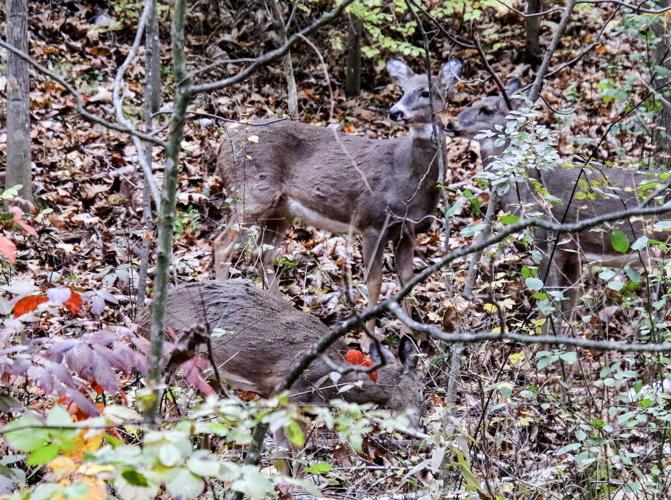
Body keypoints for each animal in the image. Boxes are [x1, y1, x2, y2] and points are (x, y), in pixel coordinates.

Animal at [139, 280, 423, 473]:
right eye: (421, 392)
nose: (419, 427)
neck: (335, 379)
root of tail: (143, 314)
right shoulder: (291, 391)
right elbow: (290, 452)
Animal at [213, 58, 463, 343]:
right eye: (403, 89)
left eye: (425, 91)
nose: (395, 112)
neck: (408, 177)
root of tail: (222, 142)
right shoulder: (373, 222)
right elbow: (374, 282)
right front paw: (368, 340)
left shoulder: (406, 231)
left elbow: (407, 279)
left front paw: (411, 335)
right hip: (251, 193)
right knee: (222, 245)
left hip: (281, 210)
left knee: (262, 254)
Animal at [443, 79, 668, 333]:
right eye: (472, 103)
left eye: (487, 109)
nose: (450, 123)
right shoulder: (573, 256)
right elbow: (566, 311)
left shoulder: (547, 243)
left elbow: (548, 307)